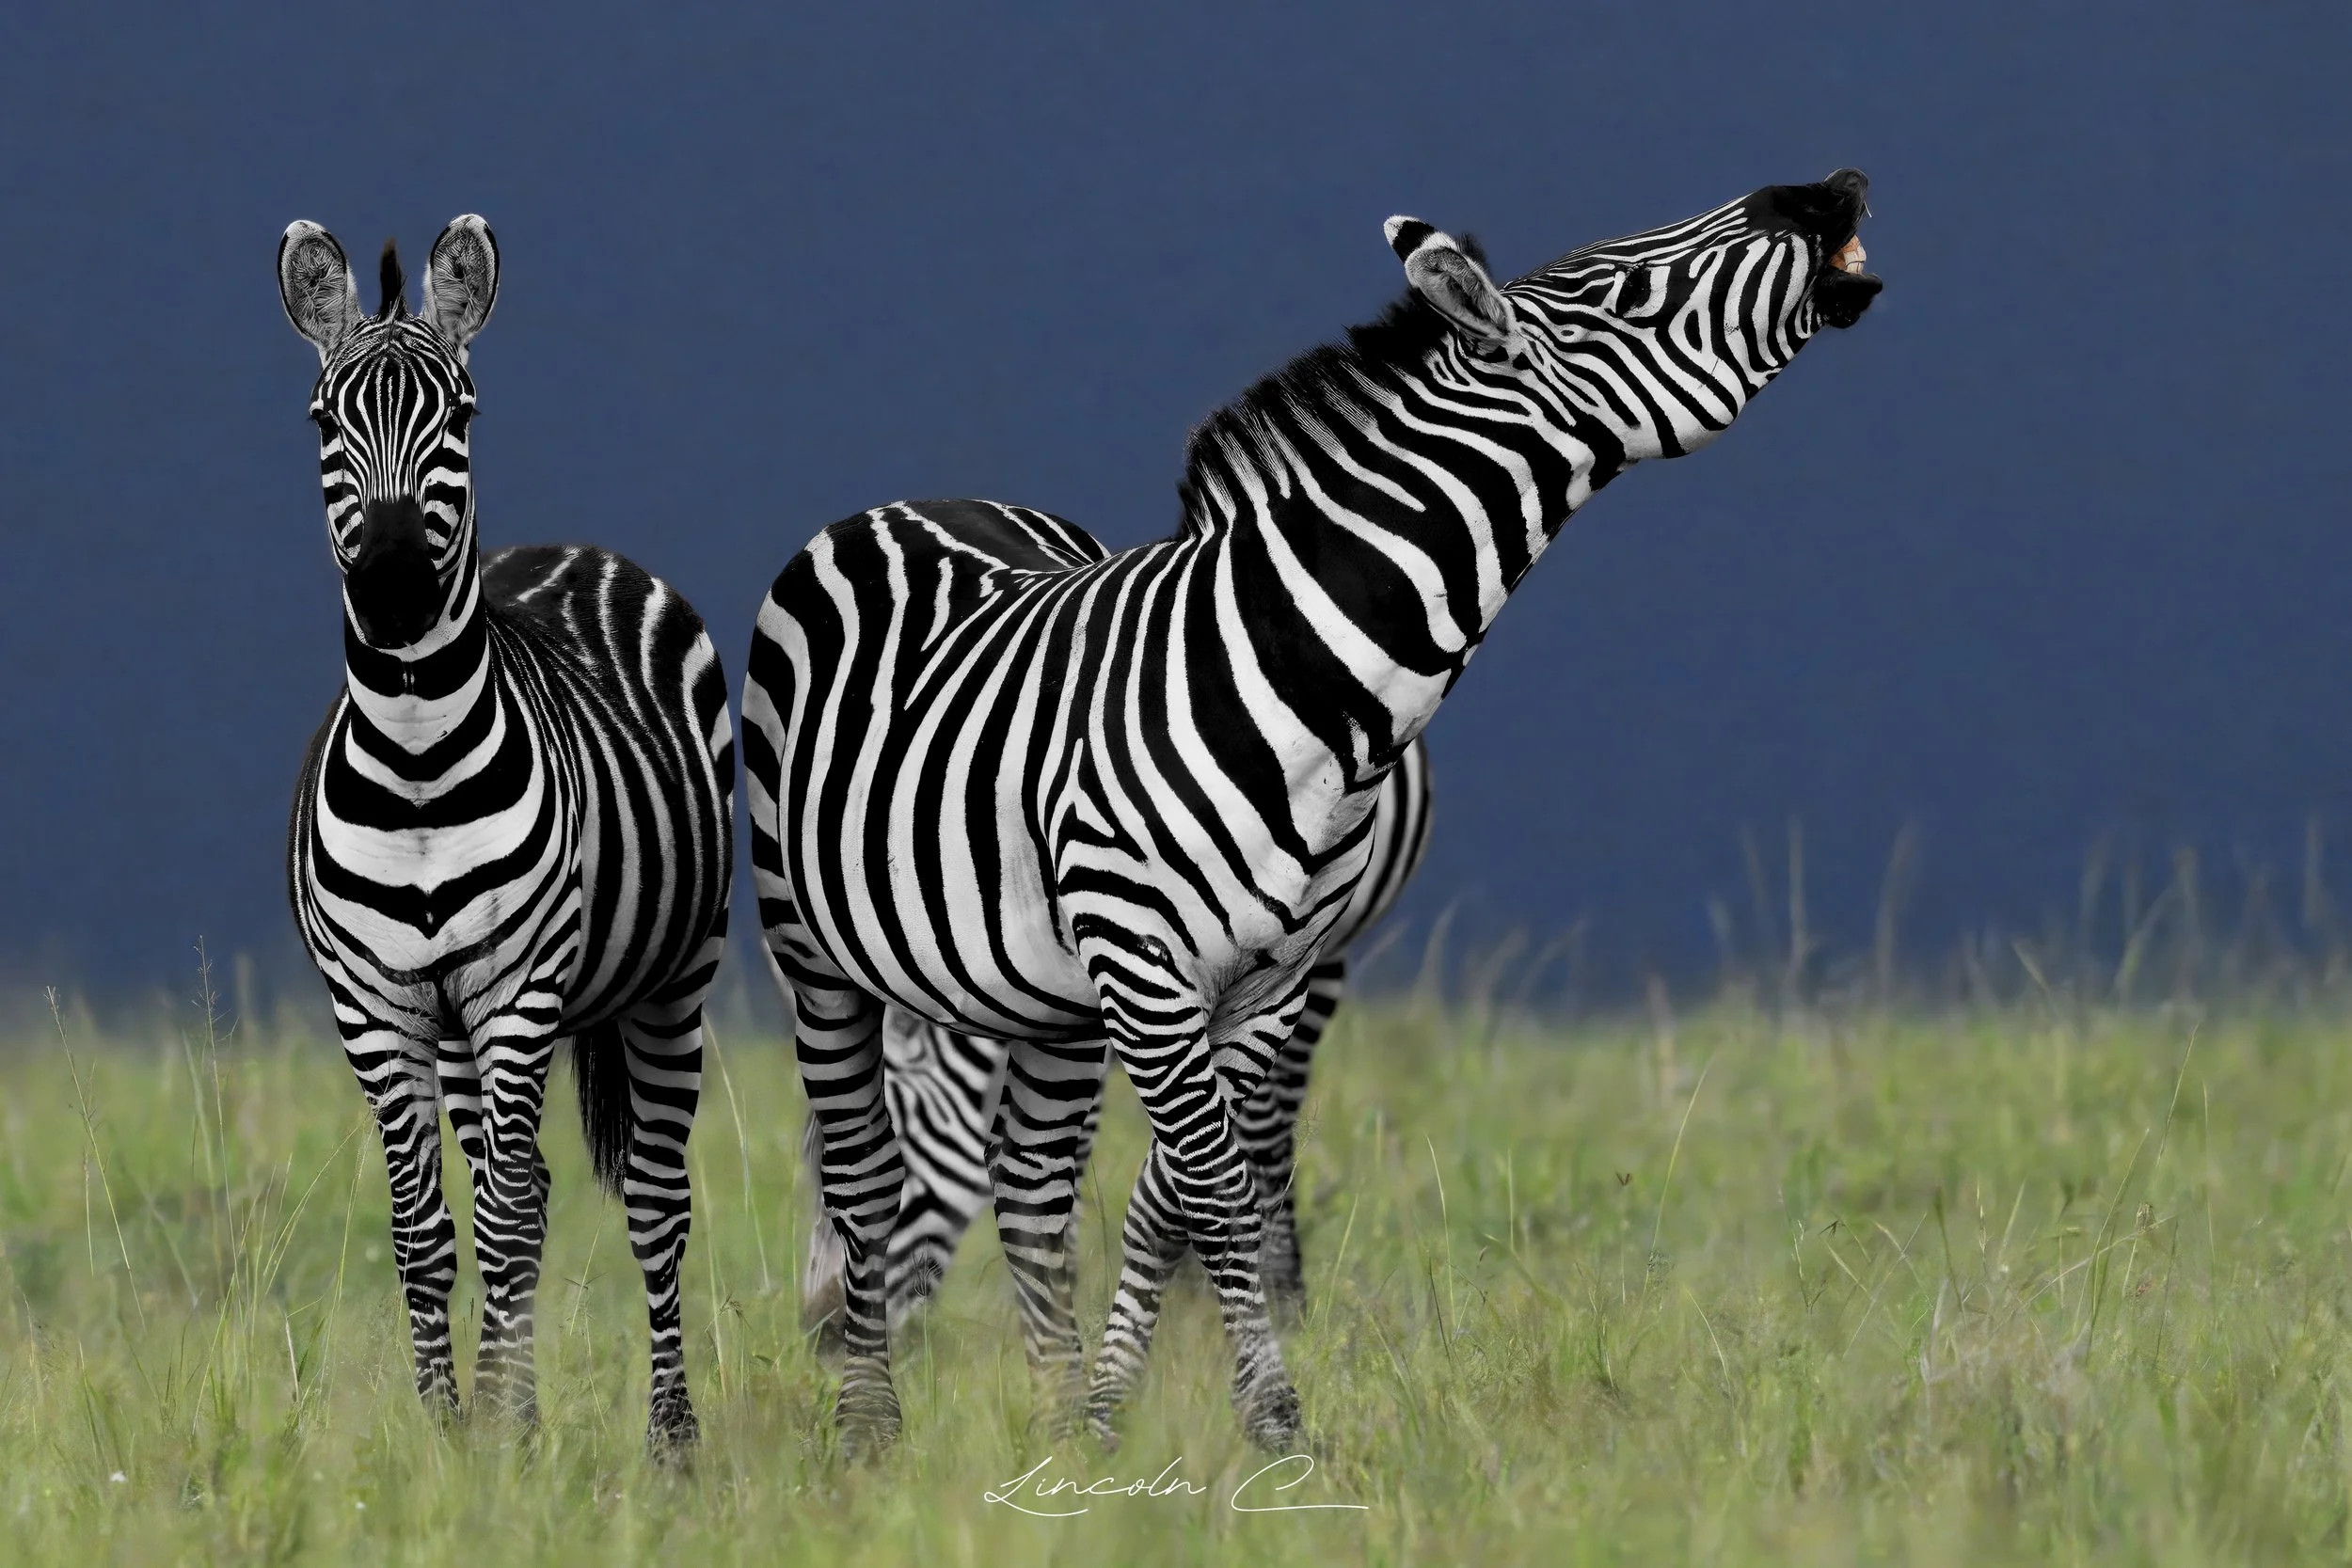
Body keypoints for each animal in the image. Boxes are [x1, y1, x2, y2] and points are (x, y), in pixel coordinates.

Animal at [277, 216, 734, 1450]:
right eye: (324, 419)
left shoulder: (519, 988)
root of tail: (574, 549)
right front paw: (449, 1427)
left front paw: (511, 1428)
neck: (417, 765)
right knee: (499, 1176)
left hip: (675, 973)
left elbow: (514, 1216)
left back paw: (672, 1435)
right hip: (454, 1032)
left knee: (653, 1201)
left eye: (463, 415)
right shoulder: (376, 1005)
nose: (392, 586)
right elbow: (425, 1226)